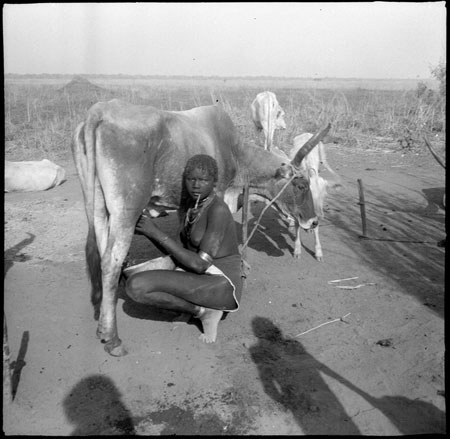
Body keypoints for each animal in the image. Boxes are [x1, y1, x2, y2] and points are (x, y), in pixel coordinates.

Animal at [72, 98, 328, 356]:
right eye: (300, 185)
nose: (313, 221)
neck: (233, 149)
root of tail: (100, 111)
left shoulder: (185, 208)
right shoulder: (221, 193)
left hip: (98, 208)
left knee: (101, 257)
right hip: (125, 211)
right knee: (111, 262)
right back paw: (112, 338)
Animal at [288, 134, 342, 262]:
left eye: (324, 196)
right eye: (307, 194)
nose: (320, 215)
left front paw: (318, 253)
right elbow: (297, 224)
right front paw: (297, 250)